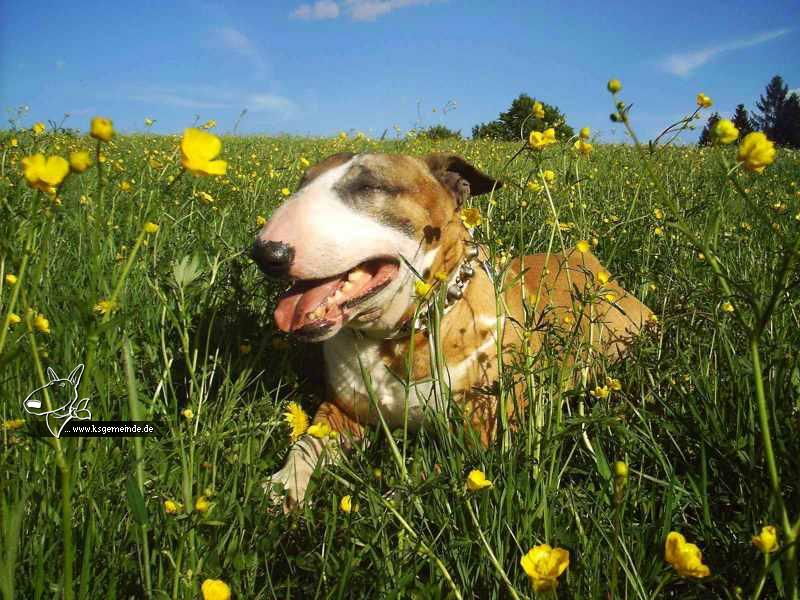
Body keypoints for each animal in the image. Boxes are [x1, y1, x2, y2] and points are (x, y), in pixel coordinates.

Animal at [253, 152, 652, 508]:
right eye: (302, 182)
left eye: (369, 186)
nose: (265, 252)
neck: (400, 335)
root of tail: (588, 260)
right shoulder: (341, 411)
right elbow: (307, 442)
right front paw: (283, 485)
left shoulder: (483, 434)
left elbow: (432, 476)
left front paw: (391, 501)